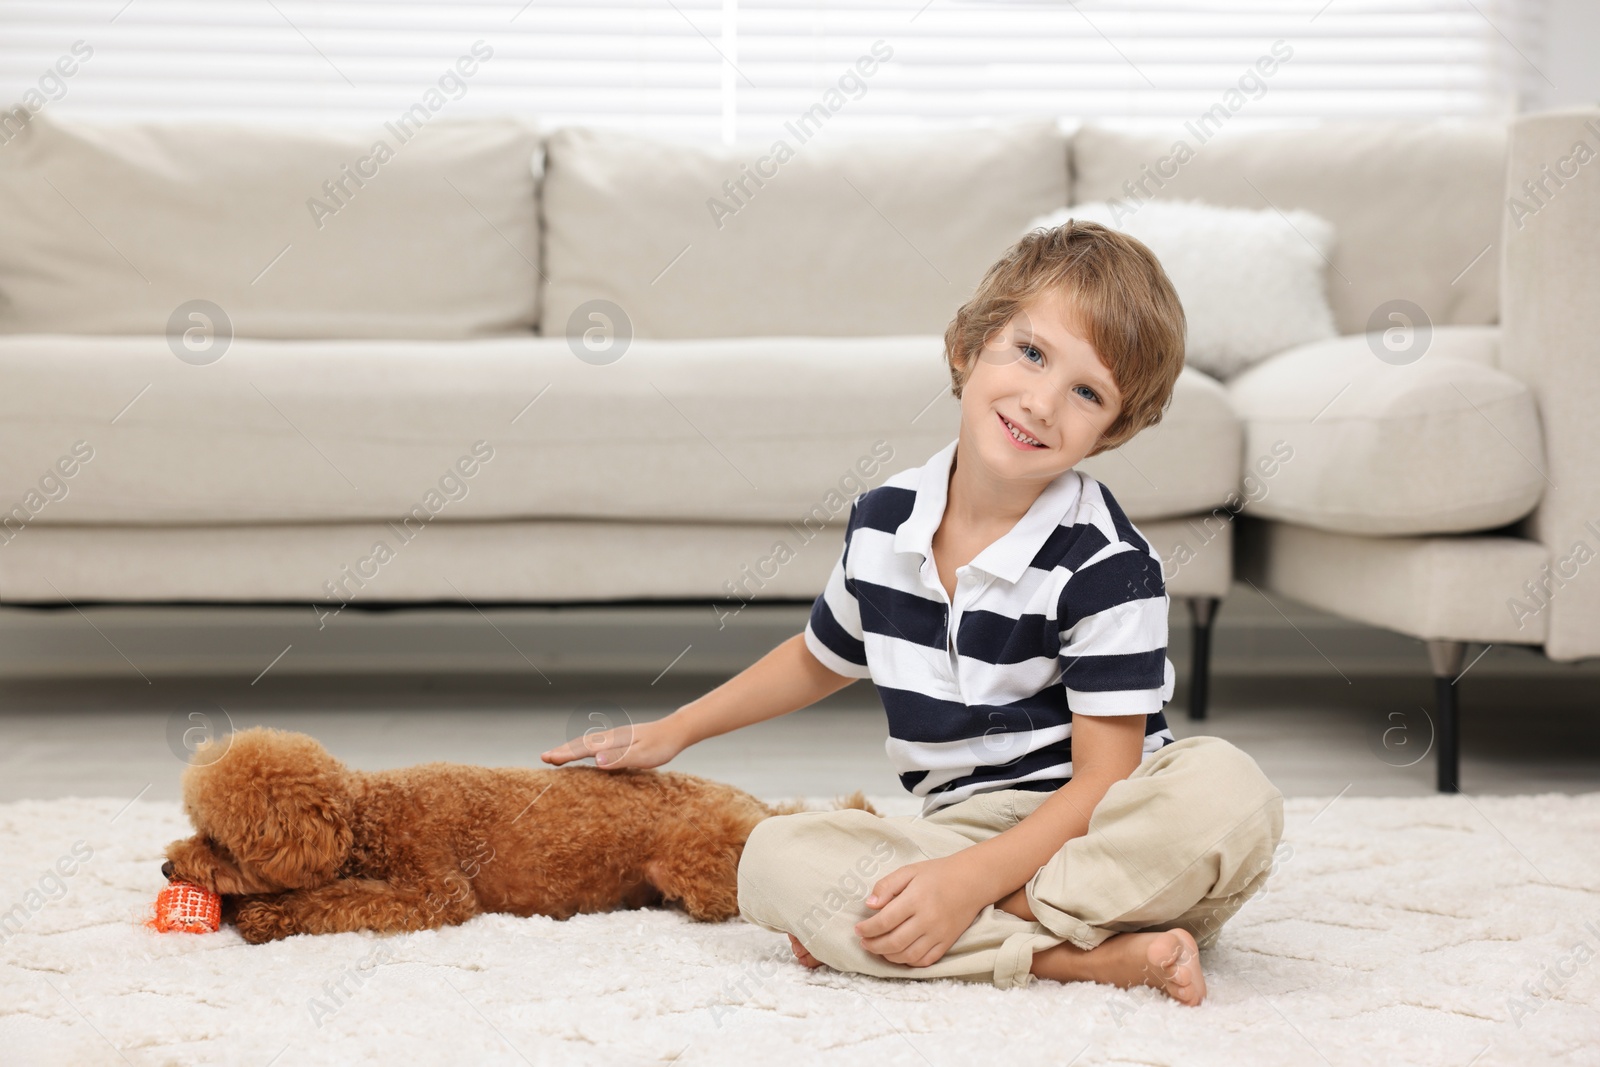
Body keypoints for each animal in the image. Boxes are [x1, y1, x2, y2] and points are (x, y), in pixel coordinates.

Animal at [162, 726, 876, 940]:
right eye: (195, 827)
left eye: (221, 842)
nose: (169, 869)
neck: (365, 818)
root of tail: (751, 806)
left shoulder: (437, 891)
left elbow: (339, 899)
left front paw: (265, 913)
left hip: (697, 865)